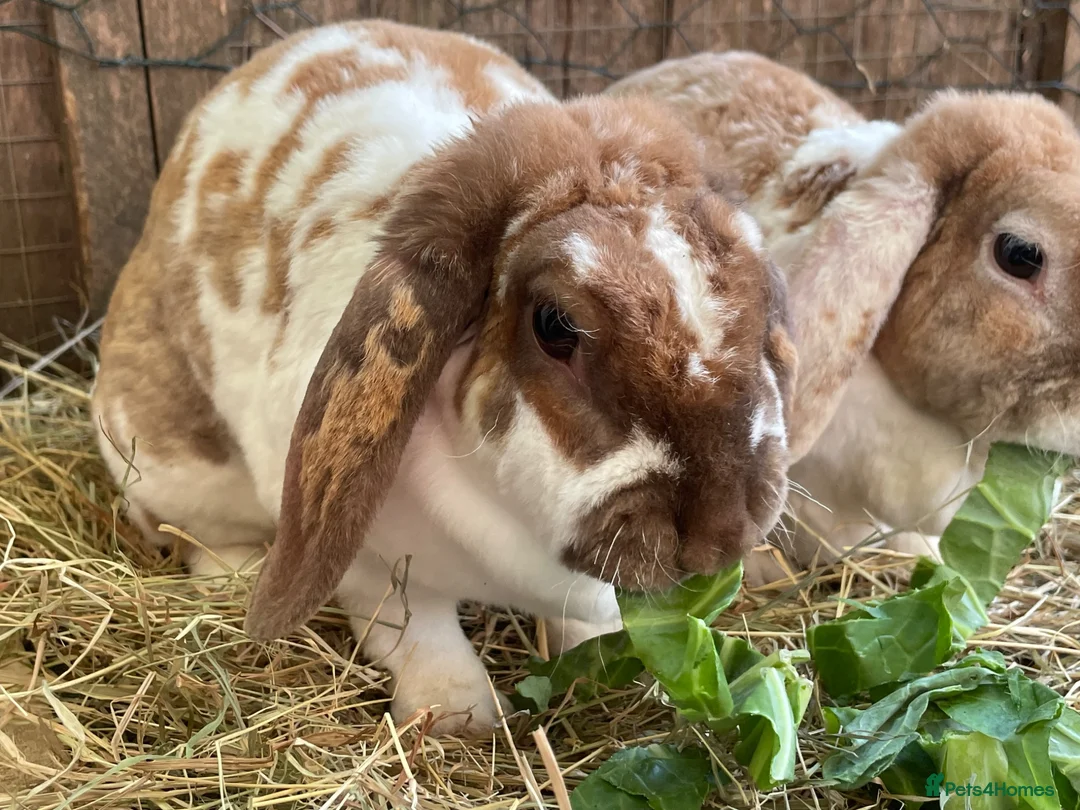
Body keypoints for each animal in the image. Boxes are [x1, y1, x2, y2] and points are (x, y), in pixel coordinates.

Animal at [91, 22, 796, 736]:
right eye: (556, 325)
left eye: (761, 297)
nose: (718, 533)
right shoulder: (374, 568)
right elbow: (419, 632)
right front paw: (461, 718)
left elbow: (588, 622)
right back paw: (233, 574)